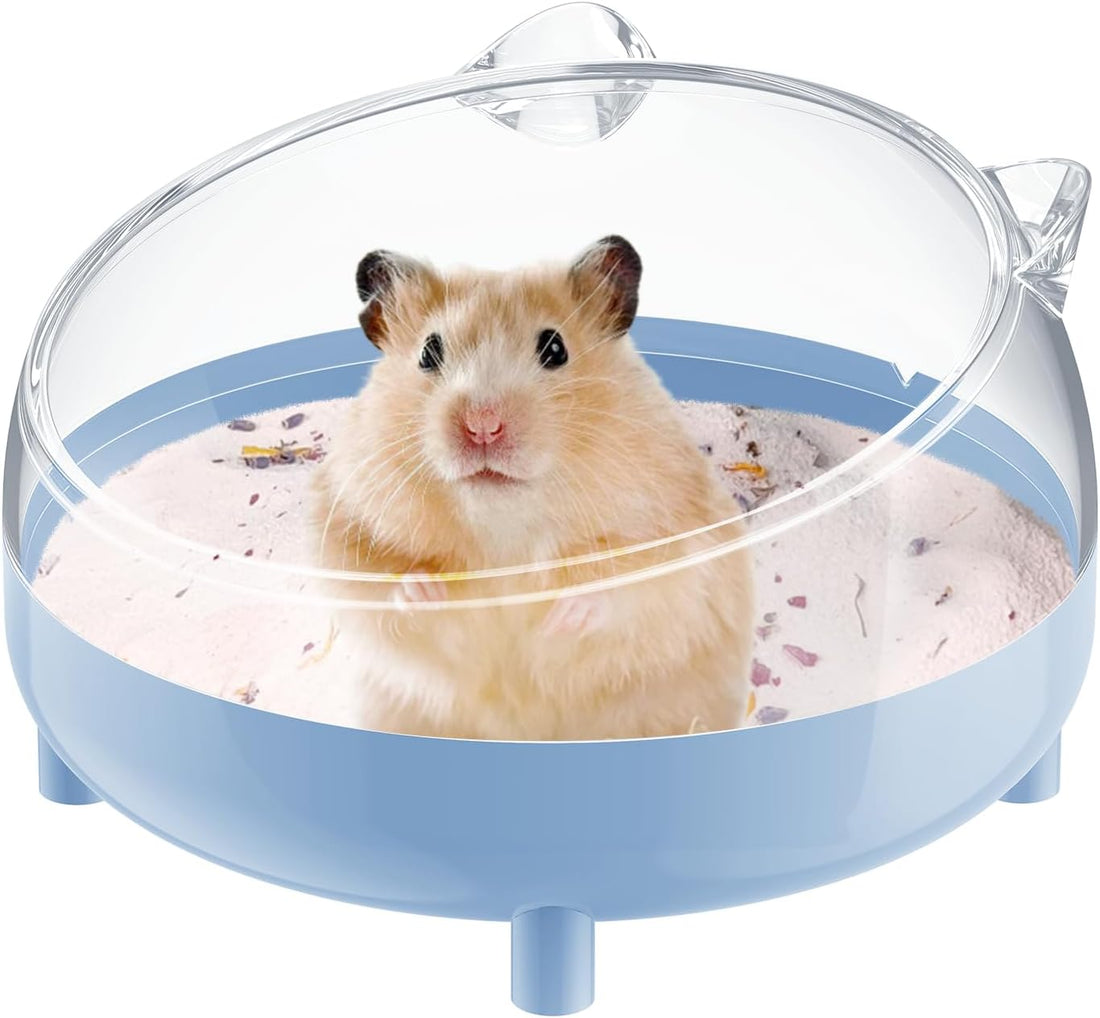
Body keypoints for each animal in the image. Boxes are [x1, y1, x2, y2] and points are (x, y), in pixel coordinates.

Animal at [312, 236, 754, 740]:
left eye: (555, 348)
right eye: (428, 352)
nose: (482, 426)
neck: (505, 529)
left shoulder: (680, 545)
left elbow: (636, 586)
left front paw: (562, 615)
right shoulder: (343, 526)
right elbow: (374, 585)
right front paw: (427, 592)